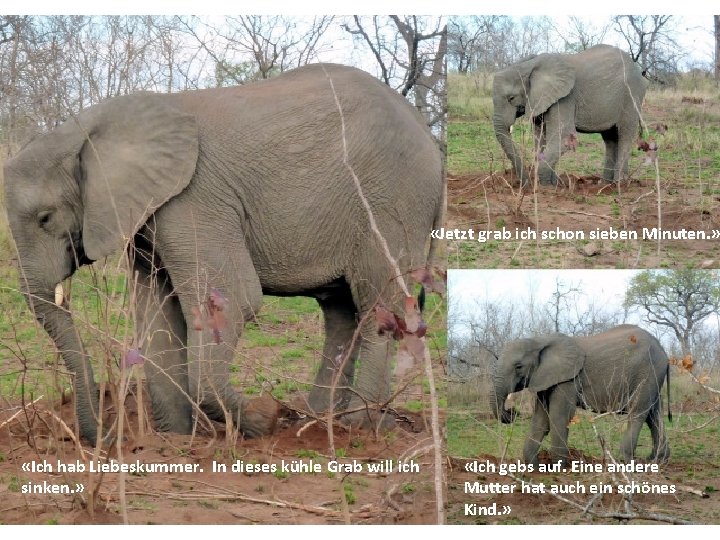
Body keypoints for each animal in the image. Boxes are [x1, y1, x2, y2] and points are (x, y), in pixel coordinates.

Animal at [4, 62, 444, 442]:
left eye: (45, 218)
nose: (109, 437)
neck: (86, 128)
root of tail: (427, 132)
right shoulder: (148, 217)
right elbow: (157, 315)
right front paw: (176, 440)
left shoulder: (194, 200)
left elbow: (233, 299)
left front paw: (265, 418)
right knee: (341, 311)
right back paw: (322, 418)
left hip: (391, 202)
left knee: (377, 305)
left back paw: (360, 425)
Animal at [492, 43, 648, 186]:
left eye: (511, 98)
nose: (525, 184)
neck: (529, 65)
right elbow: (540, 138)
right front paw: (554, 185)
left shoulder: (565, 98)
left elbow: (563, 137)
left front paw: (544, 187)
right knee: (610, 138)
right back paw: (605, 185)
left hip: (632, 96)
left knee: (625, 135)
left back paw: (619, 185)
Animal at [492, 322, 672, 466]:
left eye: (518, 366)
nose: (513, 412)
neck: (540, 340)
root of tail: (664, 352)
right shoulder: (545, 379)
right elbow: (540, 419)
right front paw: (536, 468)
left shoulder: (568, 379)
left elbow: (559, 415)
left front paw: (558, 466)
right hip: (652, 377)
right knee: (653, 415)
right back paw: (657, 460)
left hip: (648, 373)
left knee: (638, 412)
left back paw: (626, 461)